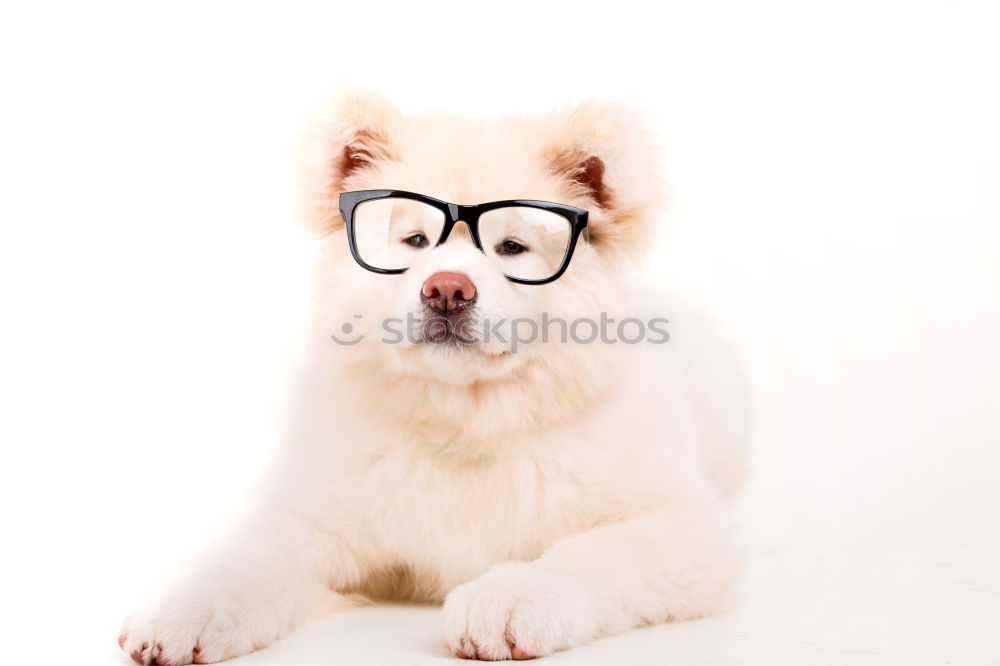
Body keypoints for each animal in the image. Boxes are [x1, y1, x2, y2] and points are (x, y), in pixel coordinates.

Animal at [119, 87, 752, 660]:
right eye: (415, 241)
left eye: (512, 247)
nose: (447, 289)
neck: (463, 421)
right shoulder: (317, 515)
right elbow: (245, 559)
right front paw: (181, 608)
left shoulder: (681, 525)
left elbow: (589, 555)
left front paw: (510, 599)